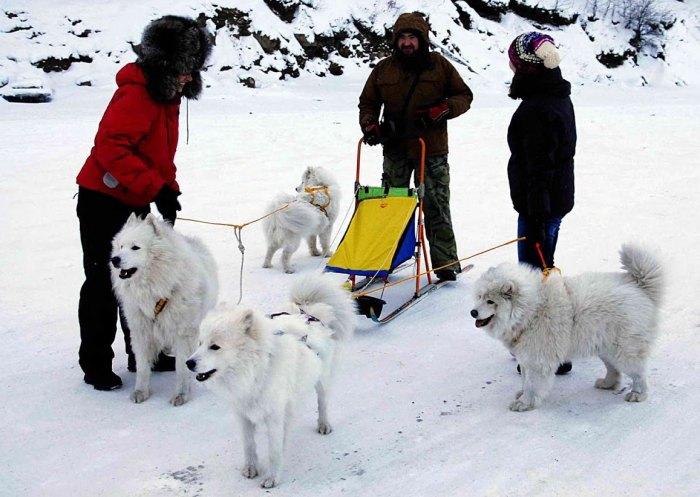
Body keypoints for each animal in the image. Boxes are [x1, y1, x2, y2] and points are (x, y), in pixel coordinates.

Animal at [109, 212, 217, 404]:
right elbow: (142, 367)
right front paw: (140, 391)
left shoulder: (183, 333)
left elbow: (182, 367)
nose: (115, 260)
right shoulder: (142, 331)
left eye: (135, 247)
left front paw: (181, 394)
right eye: (121, 246)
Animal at [187, 274, 356, 486]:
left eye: (215, 346)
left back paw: (323, 425)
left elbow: (274, 451)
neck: (254, 373)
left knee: (323, 403)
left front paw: (272, 478)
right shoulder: (243, 416)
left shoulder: (273, 416)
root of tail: (308, 313)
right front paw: (251, 468)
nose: (188, 363)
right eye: (200, 343)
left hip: (322, 381)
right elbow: (249, 446)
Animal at [470, 243, 660, 410]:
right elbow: (524, 380)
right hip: (605, 348)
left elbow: (532, 384)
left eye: (490, 301)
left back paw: (638, 394)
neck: (530, 311)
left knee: (638, 373)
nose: (473, 312)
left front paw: (524, 403)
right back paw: (607, 383)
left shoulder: (537, 359)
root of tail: (640, 287)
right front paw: (522, 395)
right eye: (479, 297)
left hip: (624, 351)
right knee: (614, 370)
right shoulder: (525, 357)